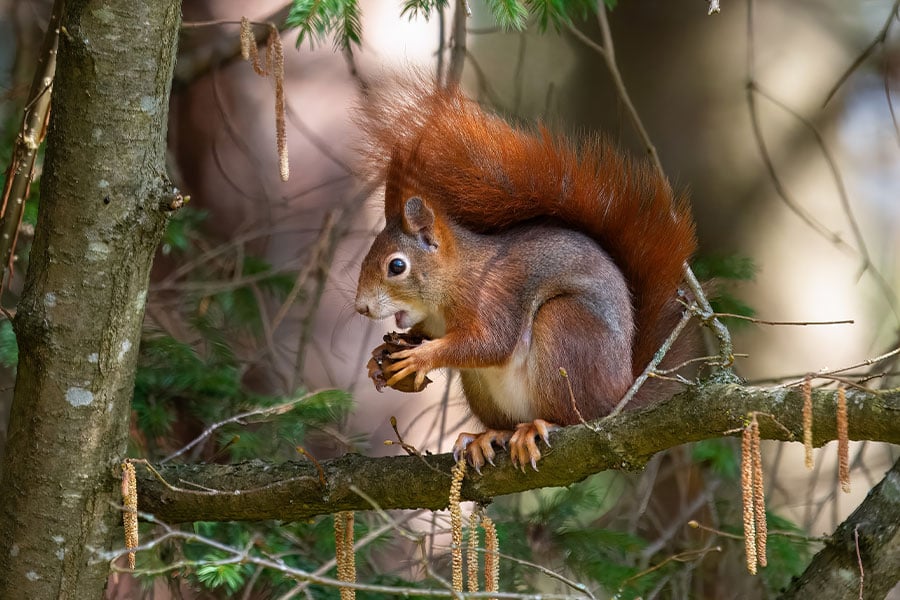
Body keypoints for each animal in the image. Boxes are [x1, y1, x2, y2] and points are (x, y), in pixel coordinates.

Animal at [354, 80, 697, 471]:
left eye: (396, 266)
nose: (361, 307)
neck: (454, 281)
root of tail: (618, 399)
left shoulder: (493, 296)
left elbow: (490, 343)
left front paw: (419, 357)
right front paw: (380, 357)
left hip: (565, 330)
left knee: (573, 417)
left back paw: (537, 427)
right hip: (481, 388)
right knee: (503, 418)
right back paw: (488, 437)